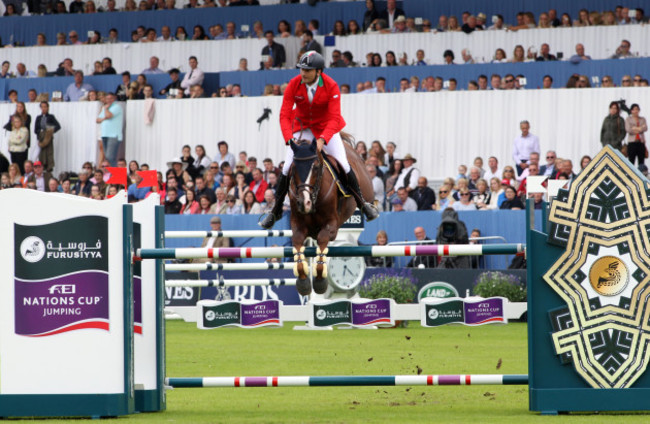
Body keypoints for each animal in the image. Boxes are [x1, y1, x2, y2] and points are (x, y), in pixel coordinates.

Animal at [286, 135, 372, 294]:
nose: (304, 203)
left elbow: (322, 239)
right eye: (293, 168)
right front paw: (303, 281)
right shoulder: (298, 225)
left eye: (315, 167)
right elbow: (297, 241)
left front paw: (320, 279)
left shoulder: (332, 225)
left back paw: (369, 209)